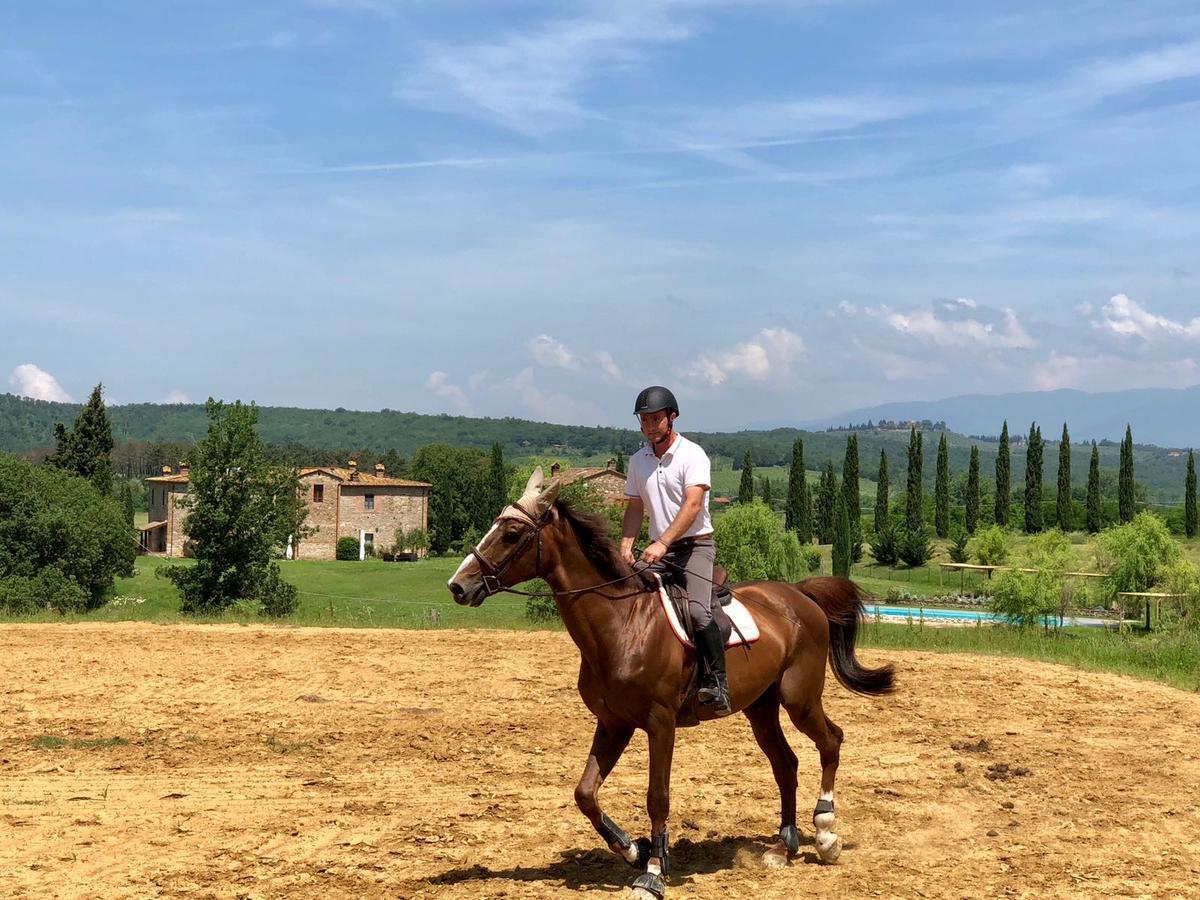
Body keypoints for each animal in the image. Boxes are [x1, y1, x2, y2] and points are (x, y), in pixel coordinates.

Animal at [448, 472, 892, 900]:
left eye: (510, 534)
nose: (458, 586)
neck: (622, 622)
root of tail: (799, 594)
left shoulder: (660, 724)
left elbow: (656, 797)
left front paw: (652, 874)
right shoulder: (614, 723)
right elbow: (585, 793)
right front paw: (634, 850)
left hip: (799, 699)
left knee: (831, 741)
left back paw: (826, 833)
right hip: (760, 708)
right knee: (786, 764)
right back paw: (783, 847)